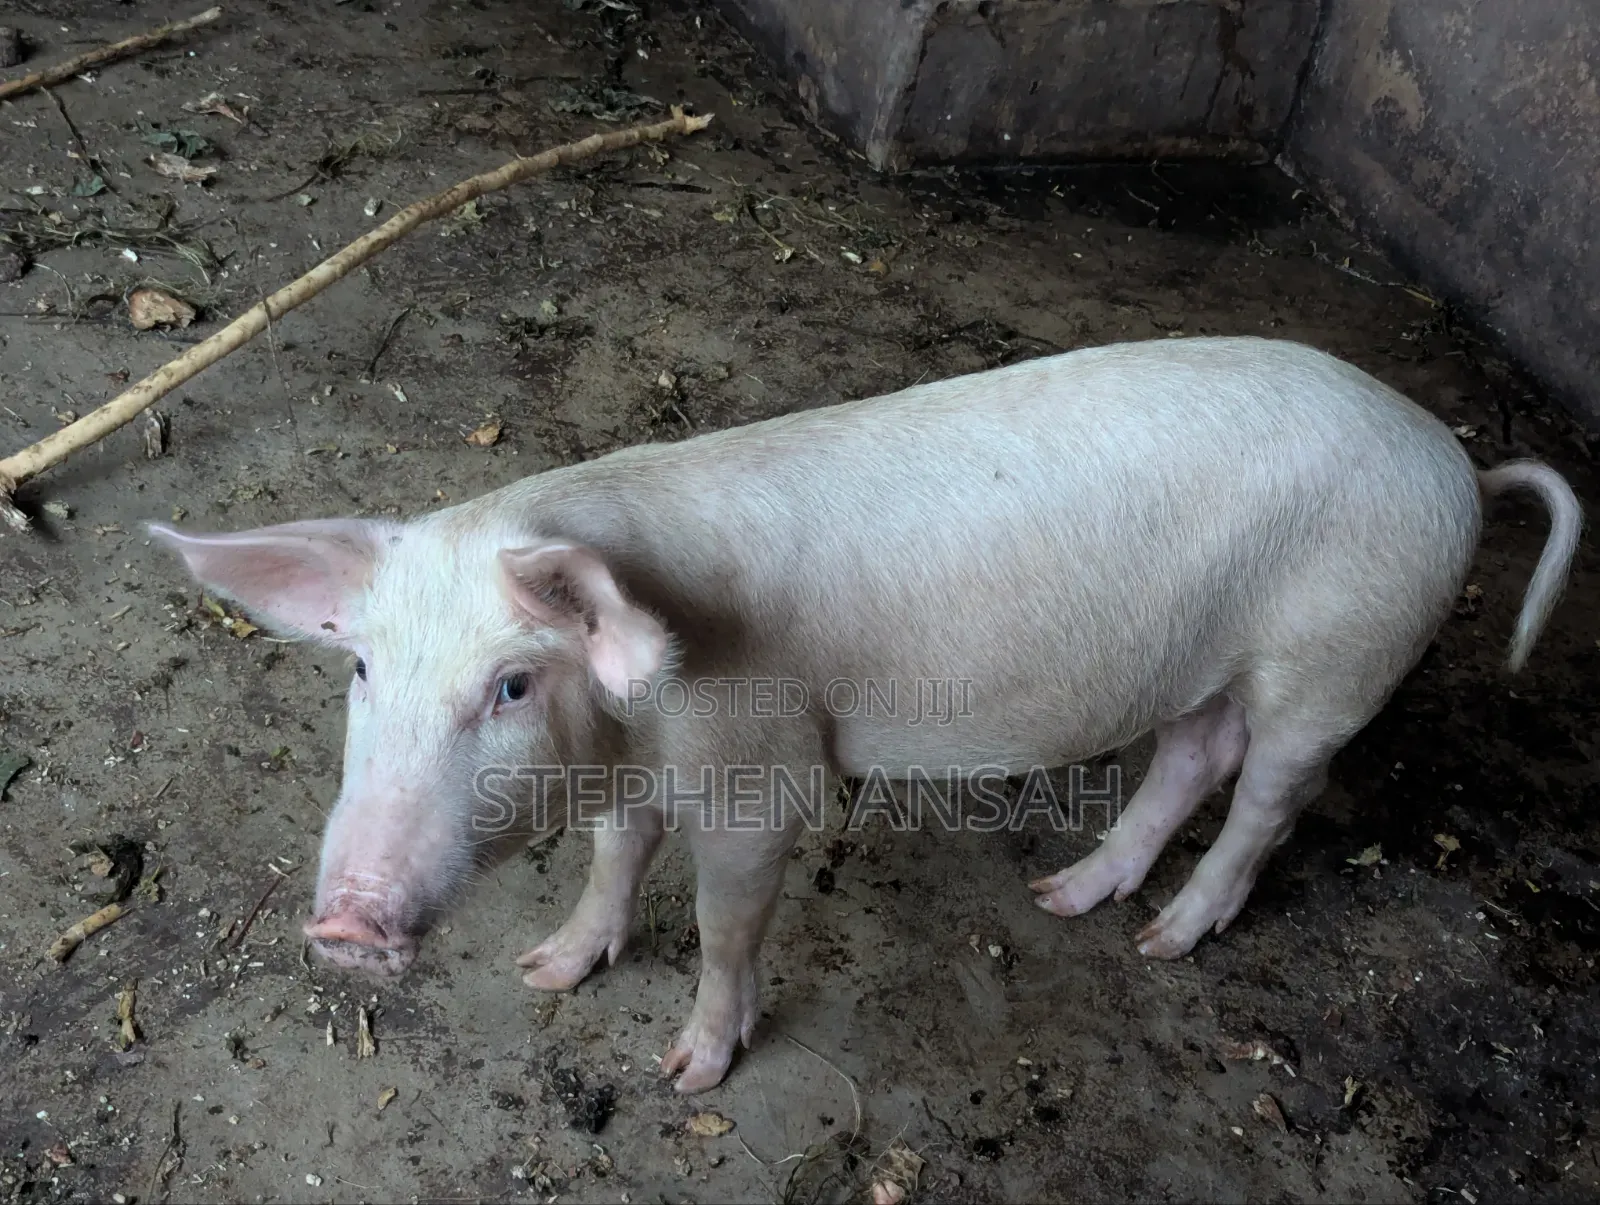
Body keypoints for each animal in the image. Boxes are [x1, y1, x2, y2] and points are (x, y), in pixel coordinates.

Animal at [151, 335, 1582, 1093]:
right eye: (360, 671)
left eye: (509, 681)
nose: (344, 923)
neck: (639, 729)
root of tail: (1459, 462)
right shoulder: (634, 774)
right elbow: (614, 857)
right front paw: (548, 969)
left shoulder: (761, 770)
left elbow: (725, 923)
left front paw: (686, 1071)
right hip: (1201, 660)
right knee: (1193, 749)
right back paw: (1070, 896)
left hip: (1337, 653)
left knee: (1274, 793)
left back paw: (1168, 939)